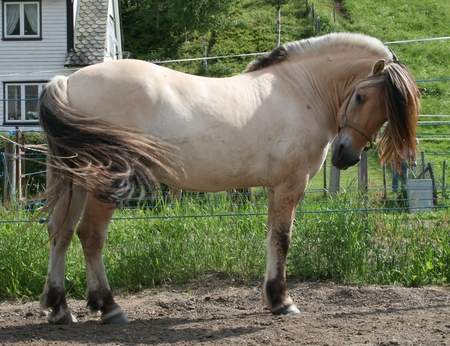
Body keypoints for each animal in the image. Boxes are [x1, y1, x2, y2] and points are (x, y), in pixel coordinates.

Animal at [37, 33, 420, 324]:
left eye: (386, 111)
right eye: (360, 96)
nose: (345, 154)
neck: (301, 90)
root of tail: (68, 81)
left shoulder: (273, 189)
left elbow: (271, 239)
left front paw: (271, 297)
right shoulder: (290, 185)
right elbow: (282, 240)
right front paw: (282, 300)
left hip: (76, 180)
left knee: (61, 231)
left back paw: (59, 308)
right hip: (105, 183)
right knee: (90, 235)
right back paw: (109, 307)